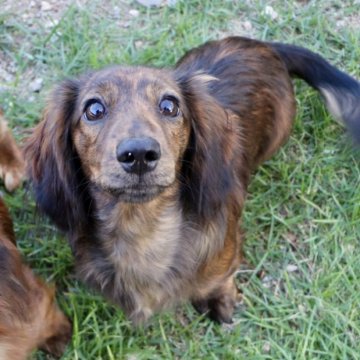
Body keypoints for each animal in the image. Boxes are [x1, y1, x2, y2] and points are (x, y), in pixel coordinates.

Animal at [25, 36, 360, 324]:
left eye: (169, 105)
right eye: (93, 109)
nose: (139, 154)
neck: (143, 229)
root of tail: (263, 45)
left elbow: (221, 280)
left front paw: (220, 300)